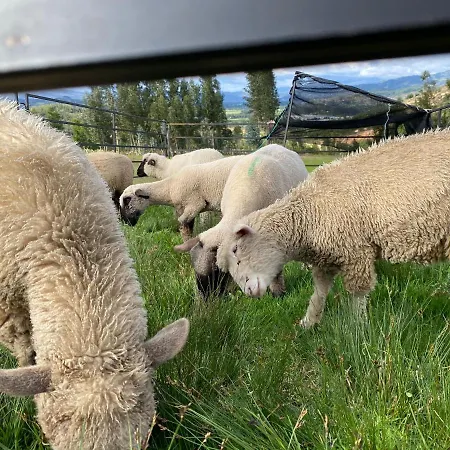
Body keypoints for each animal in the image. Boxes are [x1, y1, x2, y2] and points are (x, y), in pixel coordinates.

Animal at [217, 130, 450, 328]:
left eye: (236, 250)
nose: (248, 292)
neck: (308, 215)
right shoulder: (326, 257)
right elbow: (319, 292)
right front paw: (309, 323)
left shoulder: (356, 251)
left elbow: (357, 293)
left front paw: (357, 327)